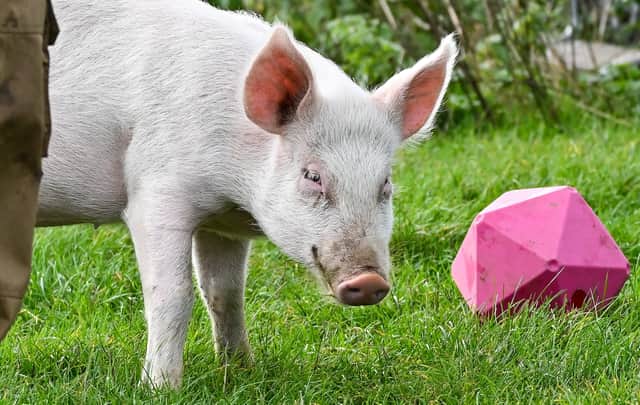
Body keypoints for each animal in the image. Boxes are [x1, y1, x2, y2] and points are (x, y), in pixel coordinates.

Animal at [38, 0, 457, 388]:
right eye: (313, 176)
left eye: (385, 184)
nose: (369, 281)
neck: (232, 188)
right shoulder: (155, 194)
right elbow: (173, 294)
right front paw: (161, 387)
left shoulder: (221, 224)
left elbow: (225, 293)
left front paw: (242, 370)